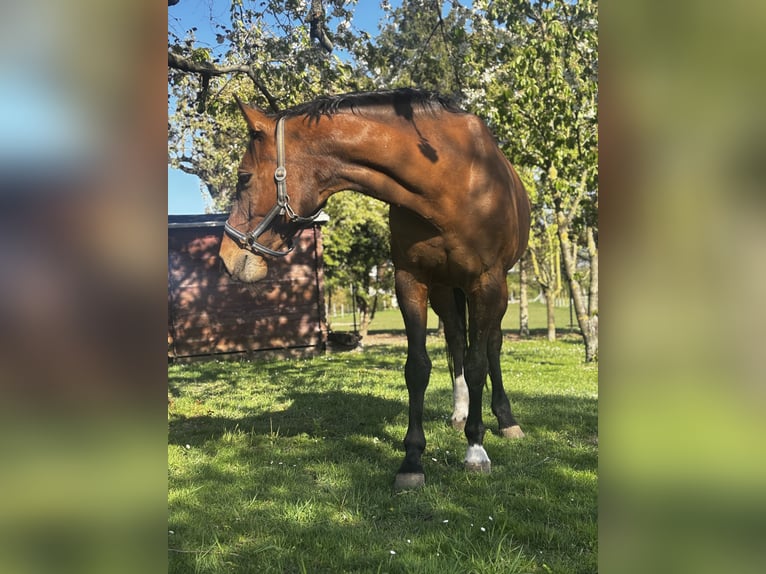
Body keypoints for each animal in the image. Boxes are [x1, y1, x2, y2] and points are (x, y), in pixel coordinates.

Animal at [219, 88, 531, 490]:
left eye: (243, 177)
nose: (226, 256)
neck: (452, 179)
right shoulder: (411, 280)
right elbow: (418, 367)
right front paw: (412, 460)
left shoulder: (487, 283)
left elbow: (479, 364)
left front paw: (476, 450)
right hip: (446, 290)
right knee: (456, 341)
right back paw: (460, 412)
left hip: (497, 292)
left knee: (490, 346)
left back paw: (505, 419)